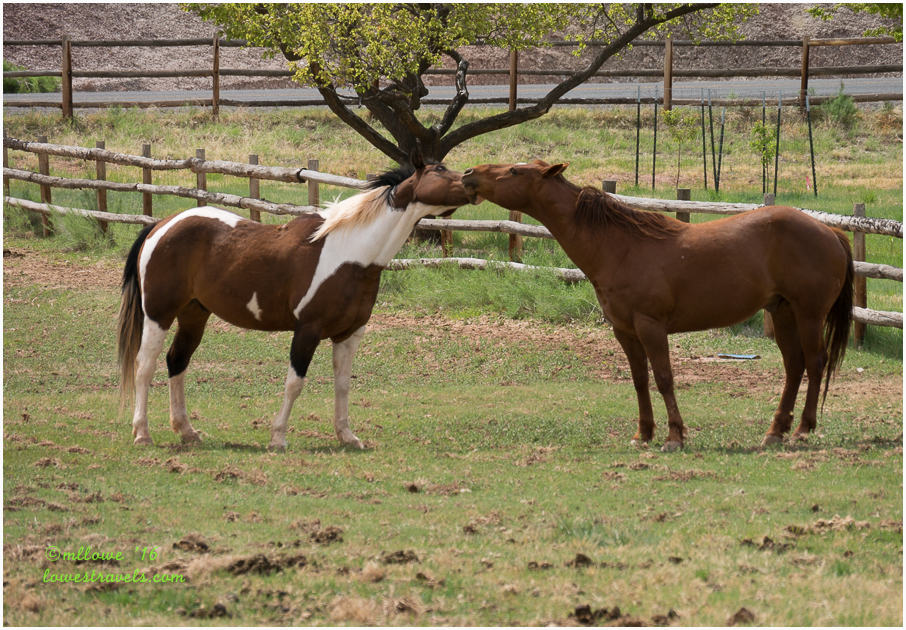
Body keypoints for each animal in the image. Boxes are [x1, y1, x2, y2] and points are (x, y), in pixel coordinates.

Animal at [118, 159, 468, 451]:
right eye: (439, 170)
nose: (470, 179)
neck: (350, 253)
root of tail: (161, 226)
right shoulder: (307, 330)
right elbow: (294, 384)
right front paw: (278, 438)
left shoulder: (350, 334)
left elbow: (343, 385)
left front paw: (347, 436)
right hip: (159, 315)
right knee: (144, 366)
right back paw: (142, 434)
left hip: (194, 315)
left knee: (177, 361)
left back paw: (187, 431)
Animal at [462, 160, 853, 451]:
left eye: (515, 171)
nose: (468, 174)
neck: (620, 247)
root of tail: (829, 231)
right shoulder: (624, 331)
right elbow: (639, 380)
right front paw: (643, 433)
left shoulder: (651, 327)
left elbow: (664, 378)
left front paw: (674, 436)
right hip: (783, 312)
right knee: (794, 367)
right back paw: (775, 431)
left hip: (808, 314)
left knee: (815, 363)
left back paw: (803, 429)